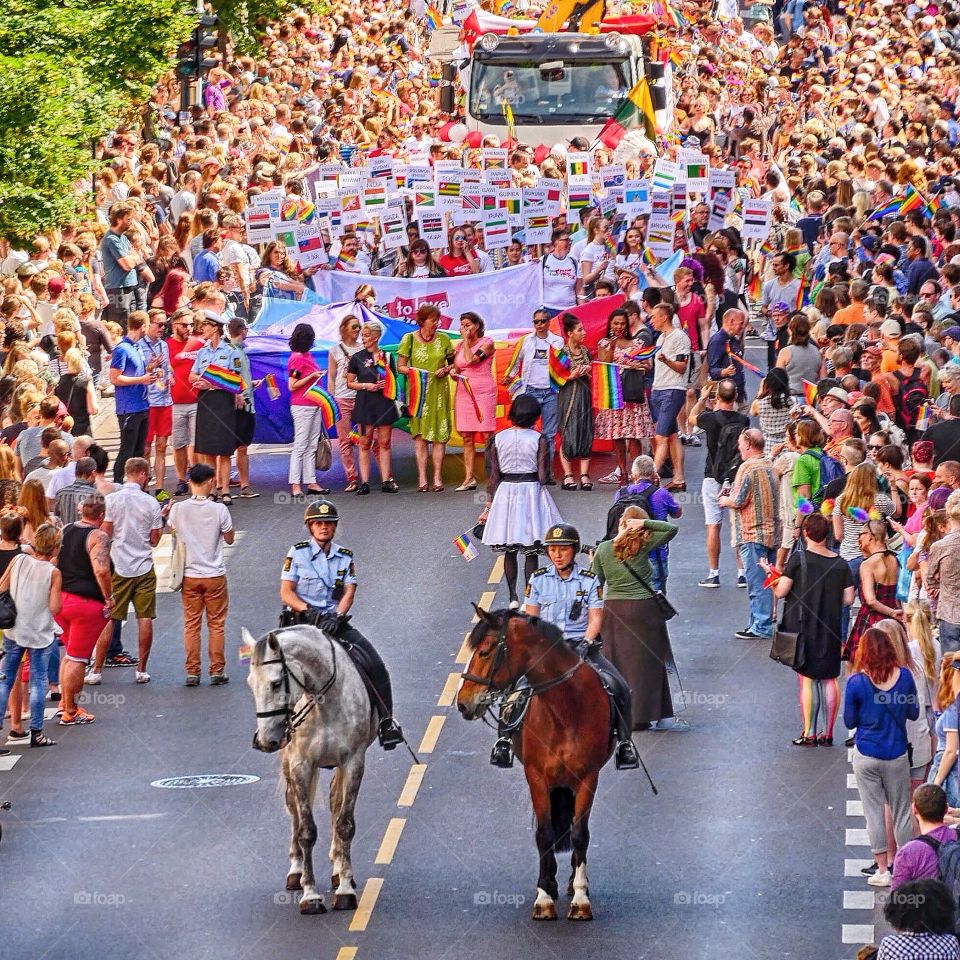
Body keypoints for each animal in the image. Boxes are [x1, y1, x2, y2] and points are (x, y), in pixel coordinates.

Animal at [246, 624, 376, 916]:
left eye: (275, 683)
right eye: (250, 684)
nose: (264, 740)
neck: (322, 700)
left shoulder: (354, 761)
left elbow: (344, 823)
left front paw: (345, 890)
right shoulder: (300, 765)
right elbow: (306, 830)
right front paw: (310, 894)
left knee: (334, 802)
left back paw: (338, 868)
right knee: (294, 809)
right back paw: (296, 870)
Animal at [456, 608, 608, 924]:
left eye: (485, 651)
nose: (463, 703)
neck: (566, 709)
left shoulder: (588, 776)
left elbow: (580, 834)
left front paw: (581, 899)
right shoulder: (537, 777)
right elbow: (544, 834)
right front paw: (544, 897)